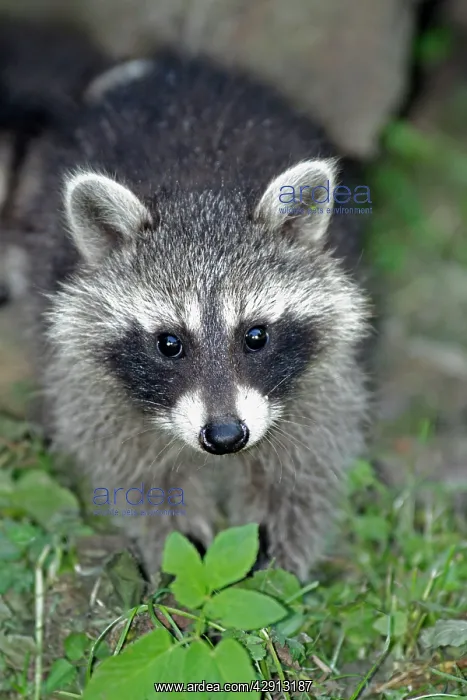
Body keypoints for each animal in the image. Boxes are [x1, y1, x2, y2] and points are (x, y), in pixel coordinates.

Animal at [3, 50, 371, 580]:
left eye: (256, 336)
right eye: (169, 343)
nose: (225, 436)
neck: (201, 196)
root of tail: (165, 67)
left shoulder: (319, 381)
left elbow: (300, 473)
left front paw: (277, 565)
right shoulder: (92, 384)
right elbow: (138, 474)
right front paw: (179, 549)